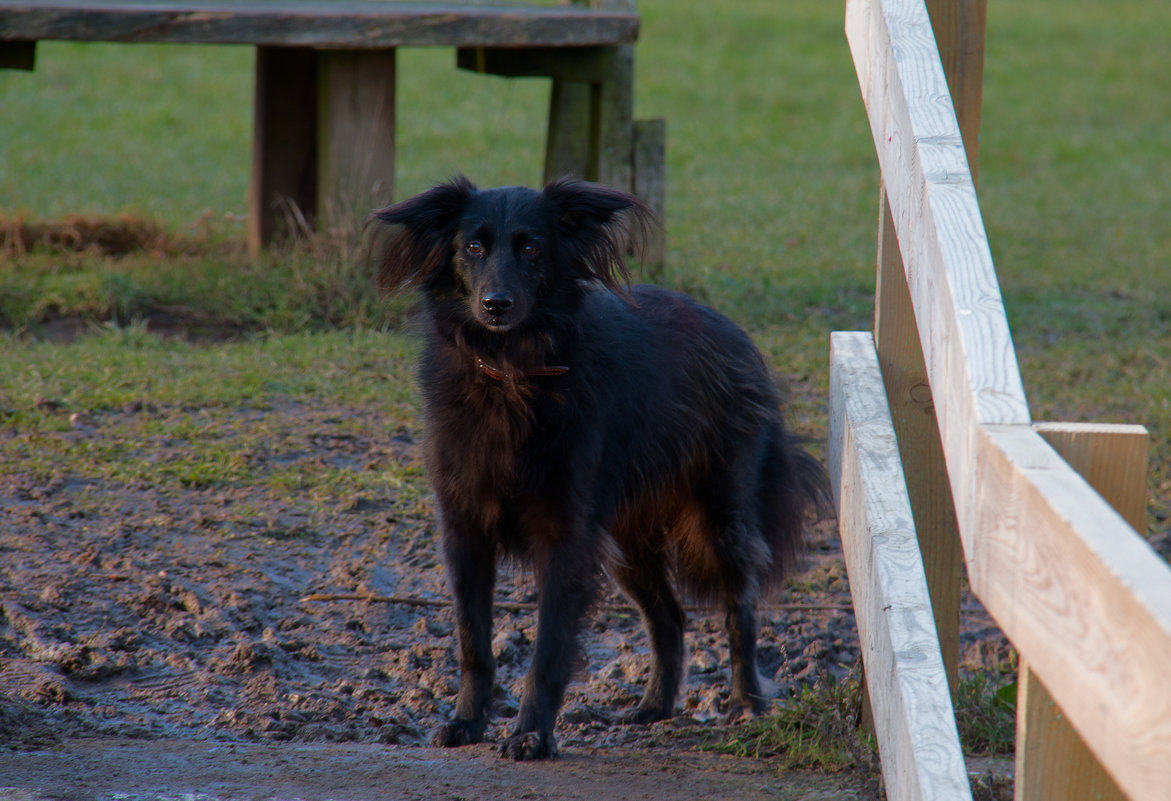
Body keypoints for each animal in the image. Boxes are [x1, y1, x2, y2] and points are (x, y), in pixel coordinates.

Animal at [370, 175, 829, 758]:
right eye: (472, 246)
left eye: (532, 248)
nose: (495, 304)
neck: (511, 367)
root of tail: (732, 330)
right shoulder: (465, 531)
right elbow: (474, 643)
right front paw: (466, 722)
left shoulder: (566, 538)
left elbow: (548, 648)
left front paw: (530, 734)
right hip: (627, 543)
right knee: (670, 617)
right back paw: (655, 706)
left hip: (719, 518)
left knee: (738, 611)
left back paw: (747, 701)